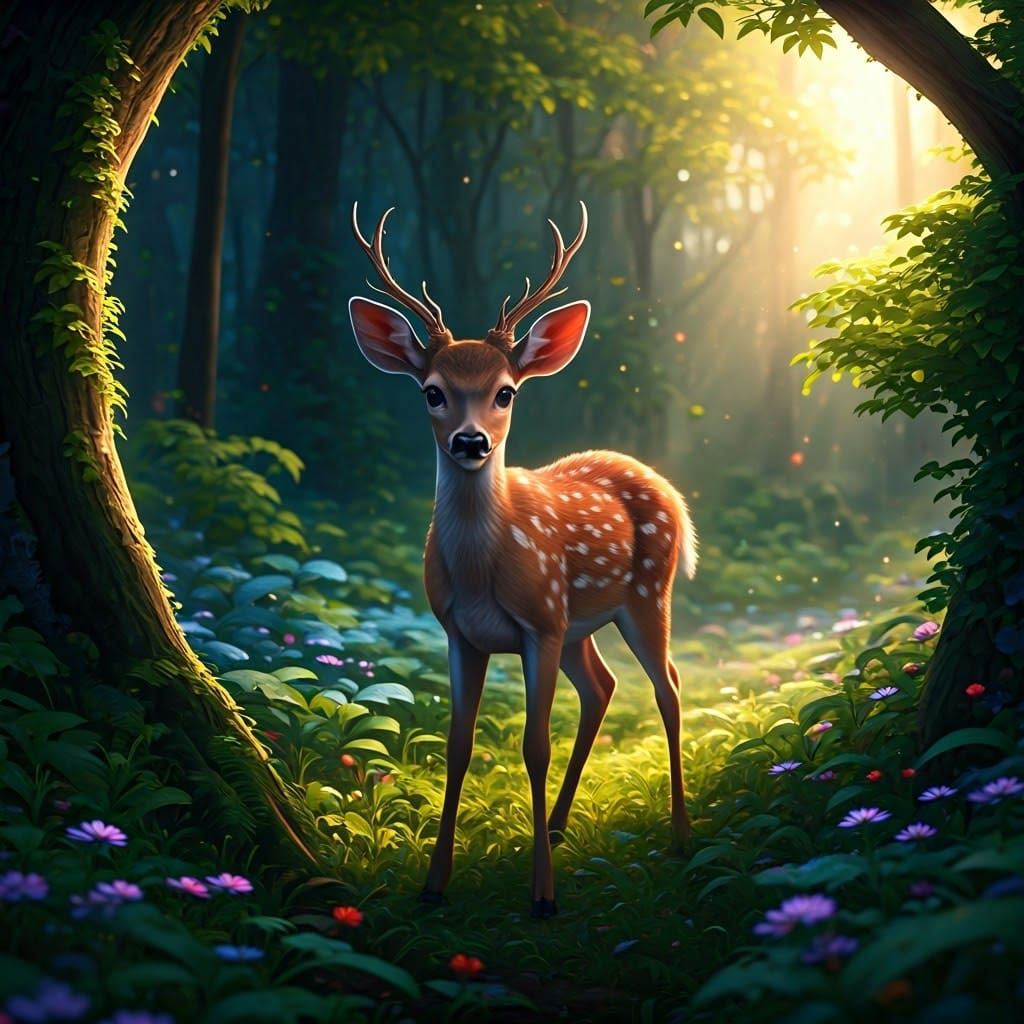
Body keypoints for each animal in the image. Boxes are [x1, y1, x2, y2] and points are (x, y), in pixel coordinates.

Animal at [348, 202, 697, 918]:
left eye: (506, 392)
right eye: (431, 391)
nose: (471, 441)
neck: (485, 571)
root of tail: (667, 487)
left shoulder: (539, 624)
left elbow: (534, 746)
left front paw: (542, 896)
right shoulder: (461, 632)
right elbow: (458, 746)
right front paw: (434, 882)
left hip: (646, 595)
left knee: (669, 687)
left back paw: (679, 835)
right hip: (580, 626)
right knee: (602, 687)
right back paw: (560, 825)